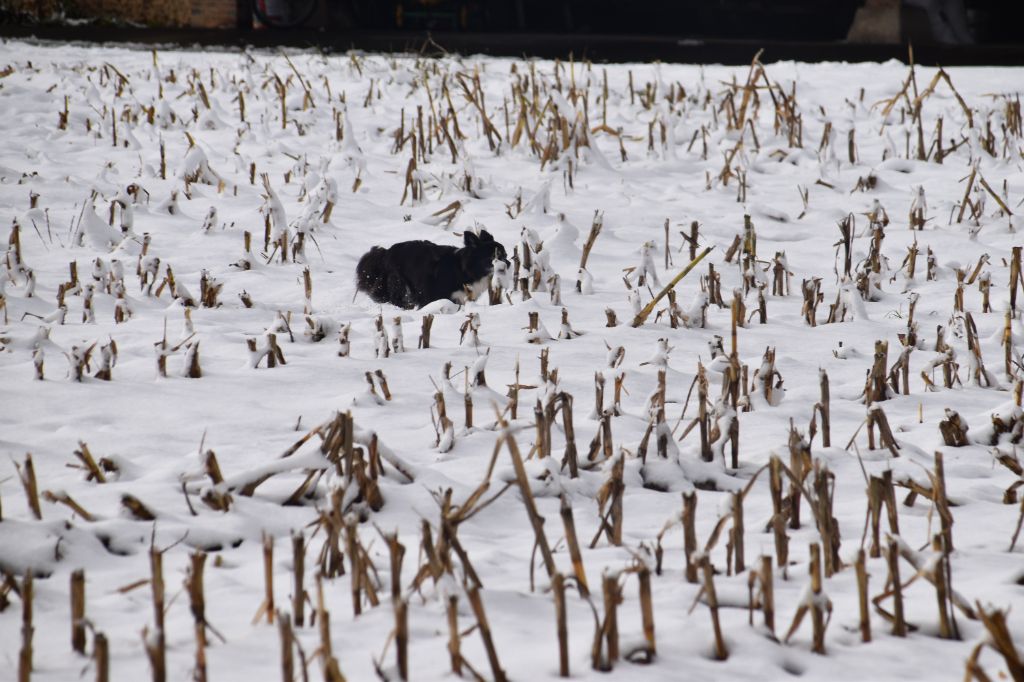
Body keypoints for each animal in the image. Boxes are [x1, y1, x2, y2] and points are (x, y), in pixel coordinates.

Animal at [356, 229, 507, 309]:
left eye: (505, 256)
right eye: (493, 258)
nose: (508, 264)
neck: (463, 269)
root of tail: (386, 252)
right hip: (399, 284)